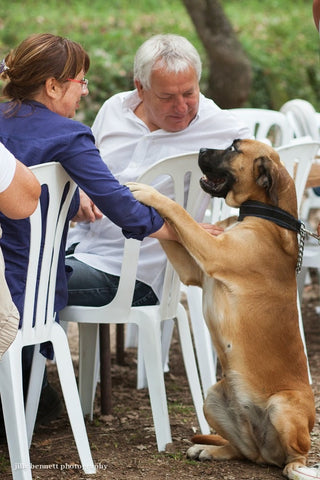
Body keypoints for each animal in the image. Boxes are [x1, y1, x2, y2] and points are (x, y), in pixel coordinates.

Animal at [127, 138, 316, 476]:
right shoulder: (192, 267)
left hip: (283, 406)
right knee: (246, 453)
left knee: (295, 457)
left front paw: (149, 192)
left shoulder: (212, 251)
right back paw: (212, 449)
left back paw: (298, 470)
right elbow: (173, 229)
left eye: (234, 149)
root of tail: (269, 453)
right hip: (213, 396)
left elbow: (180, 213)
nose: (201, 149)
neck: (265, 214)